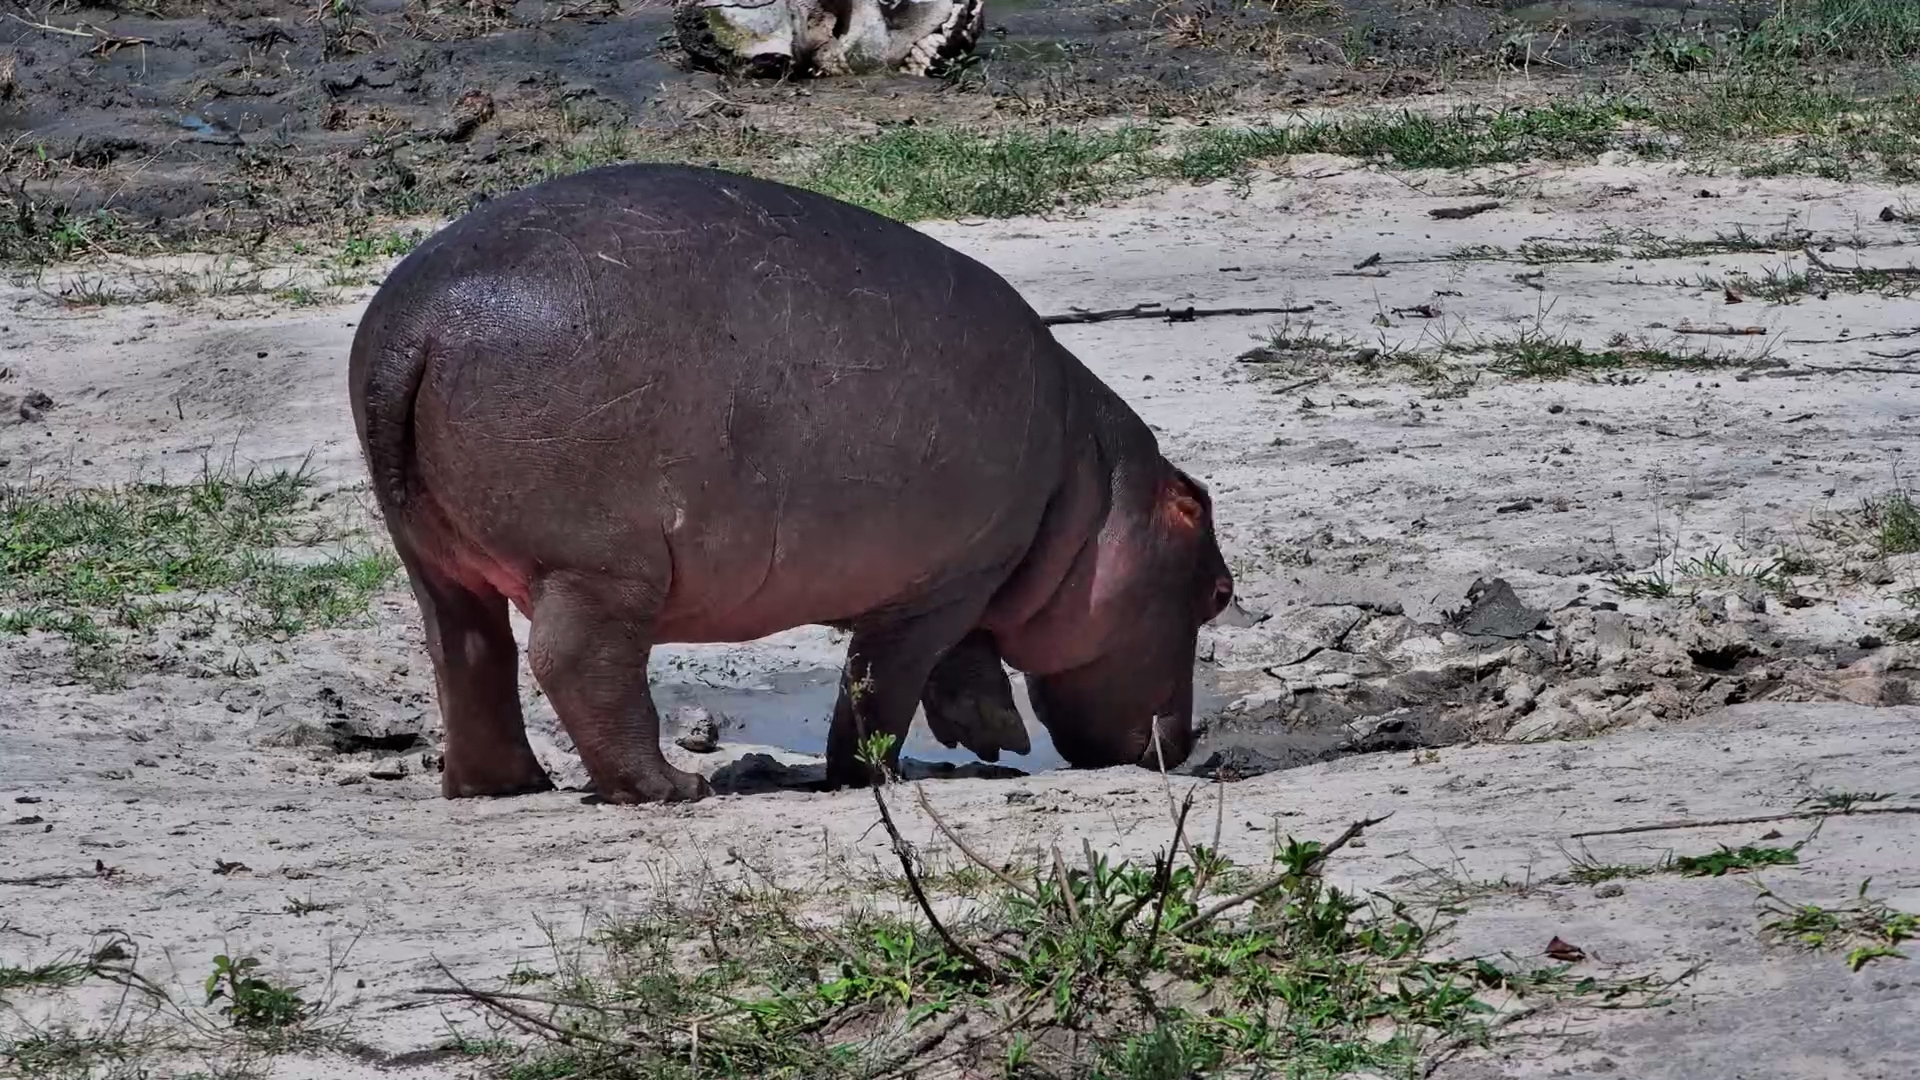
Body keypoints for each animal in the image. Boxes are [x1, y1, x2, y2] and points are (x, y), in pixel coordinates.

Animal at [348, 163, 1233, 804]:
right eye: (1220, 594)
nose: (1187, 744)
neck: (1095, 488)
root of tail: (418, 323)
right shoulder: (952, 578)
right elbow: (883, 681)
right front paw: (876, 774)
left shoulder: (963, 573)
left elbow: (961, 661)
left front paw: (986, 741)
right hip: (600, 568)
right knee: (574, 661)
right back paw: (676, 787)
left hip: (435, 561)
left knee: (466, 651)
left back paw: (505, 786)